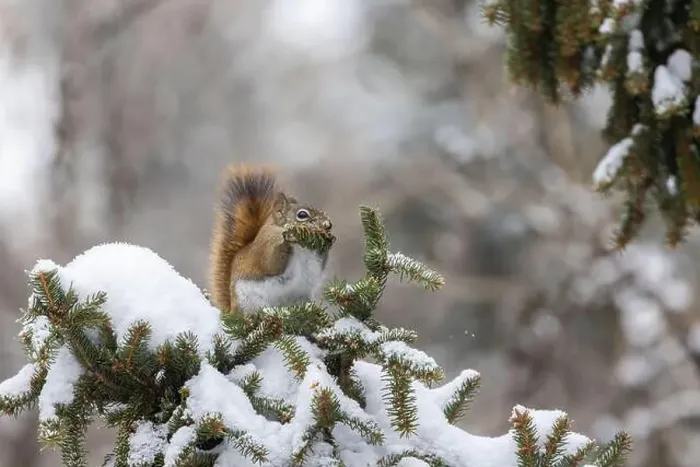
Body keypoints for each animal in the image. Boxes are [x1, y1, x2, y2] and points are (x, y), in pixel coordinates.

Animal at [208, 164, 335, 314]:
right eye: (302, 215)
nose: (328, 224)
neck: (301, 248)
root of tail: (232, 311)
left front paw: (326, 243)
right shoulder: (265, 246)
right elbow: (271, 264)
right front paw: (286, 241)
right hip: (249, 301)